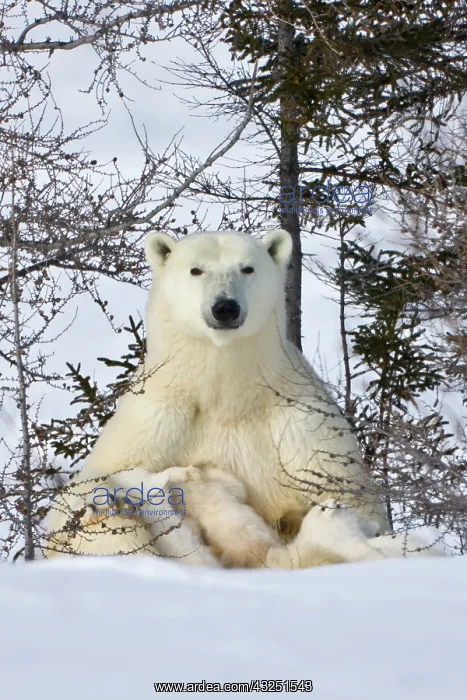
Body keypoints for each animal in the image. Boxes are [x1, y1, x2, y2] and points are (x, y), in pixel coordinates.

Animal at [47, 228, 388, 560]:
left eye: (247, 268)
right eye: (196, 270)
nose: (225, 307)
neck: (225, 395)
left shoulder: (302, 426)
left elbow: (351, 497)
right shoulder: (154, 419)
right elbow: (91, 488)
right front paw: (105, 502)